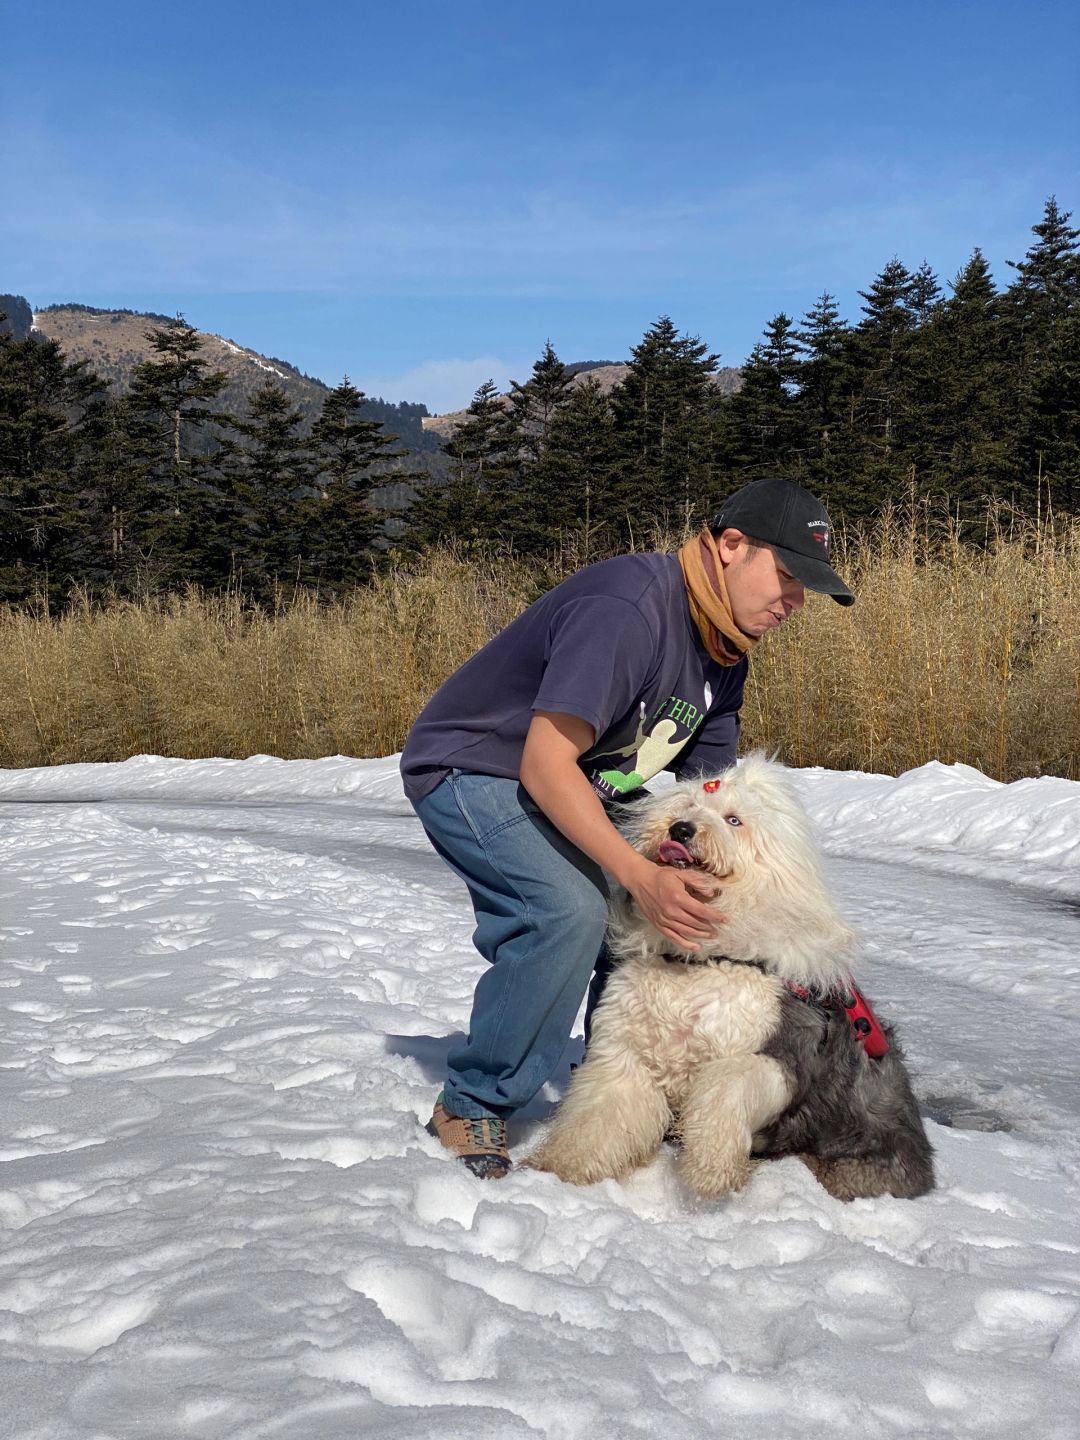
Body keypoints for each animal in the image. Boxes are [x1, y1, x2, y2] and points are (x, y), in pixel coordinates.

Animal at [527, 754, 934, 1202]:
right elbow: (600, 1116)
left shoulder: (770, 1056)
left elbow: (725, 1091)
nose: (681, 829)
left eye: (734, 820)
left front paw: (709, 1172)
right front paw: (563, 1167)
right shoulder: (628, 1053)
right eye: (685, 806)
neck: (699, 961)